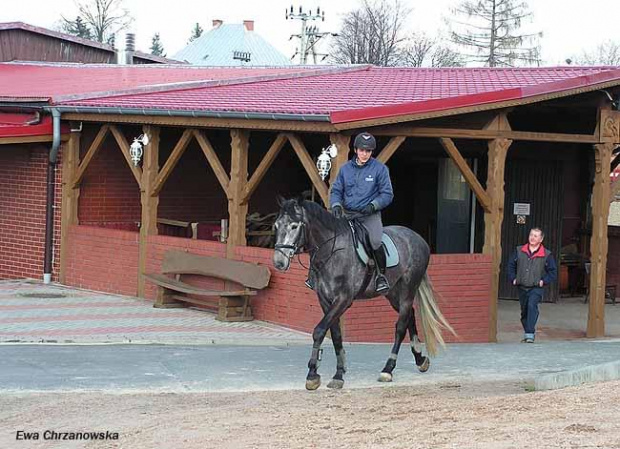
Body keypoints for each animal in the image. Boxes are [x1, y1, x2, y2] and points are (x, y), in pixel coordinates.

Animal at [274, 196, 452, 388]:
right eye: (276, 226)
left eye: (294, 226)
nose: (279, 262)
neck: (332, 252)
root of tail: (418, 238)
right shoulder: (325, 300)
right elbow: (335, 335)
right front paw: (339, 373)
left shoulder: (343, 299)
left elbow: (319, 331)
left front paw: (313, 374)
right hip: (392, 293)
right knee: (410, 316)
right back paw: (420, 360)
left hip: (408, 289)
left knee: (400, 327)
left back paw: (388, 369)